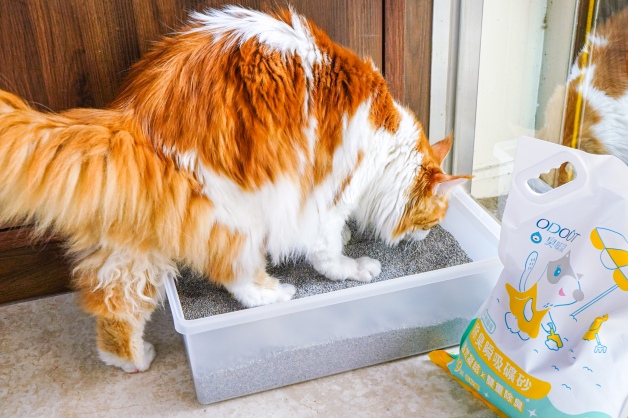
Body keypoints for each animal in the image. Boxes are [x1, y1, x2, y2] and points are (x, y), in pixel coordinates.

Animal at [0, 6, 470, 373]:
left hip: (135, 235)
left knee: (116, 300)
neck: (387, 145)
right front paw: (355, 266)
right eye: (433, 219)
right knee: (233, 276)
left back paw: (130, 360)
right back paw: (274, 294)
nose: (427, 236)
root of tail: (135, 116)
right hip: (238, 213)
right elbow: (328, 253)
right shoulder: (325, 195)